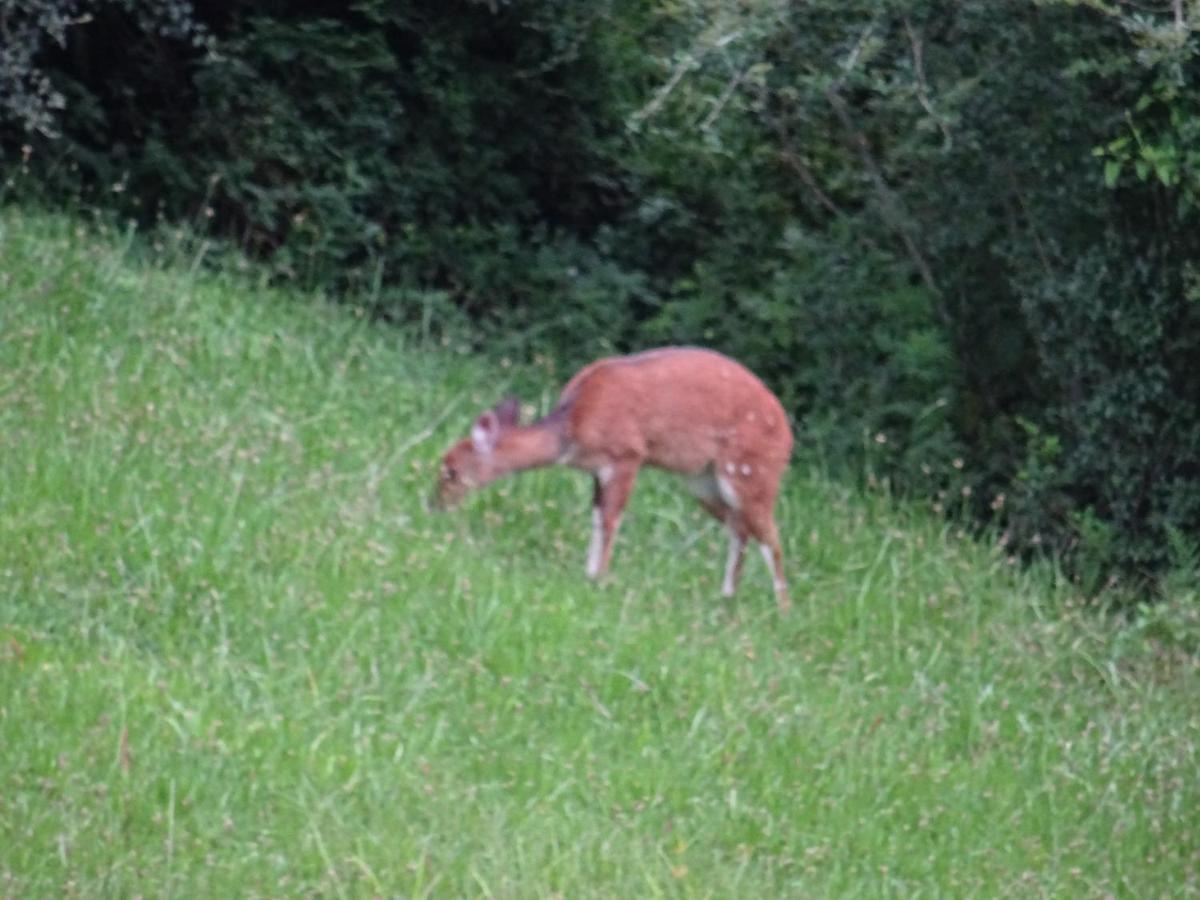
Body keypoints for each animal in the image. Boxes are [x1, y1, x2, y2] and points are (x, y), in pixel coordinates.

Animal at [434, 345, 796, 614]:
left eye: (450, 470)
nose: (433, 505)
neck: (574, 428)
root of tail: (787, 434)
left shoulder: (626, 455)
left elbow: (611, 520)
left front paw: (600, 578)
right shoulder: (598, 470)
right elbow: (597, 518)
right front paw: (588, 574)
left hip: (750, 471)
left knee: (771, 537)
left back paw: (783, 610)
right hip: (702, 481)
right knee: (740, 528)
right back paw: (726, 598)